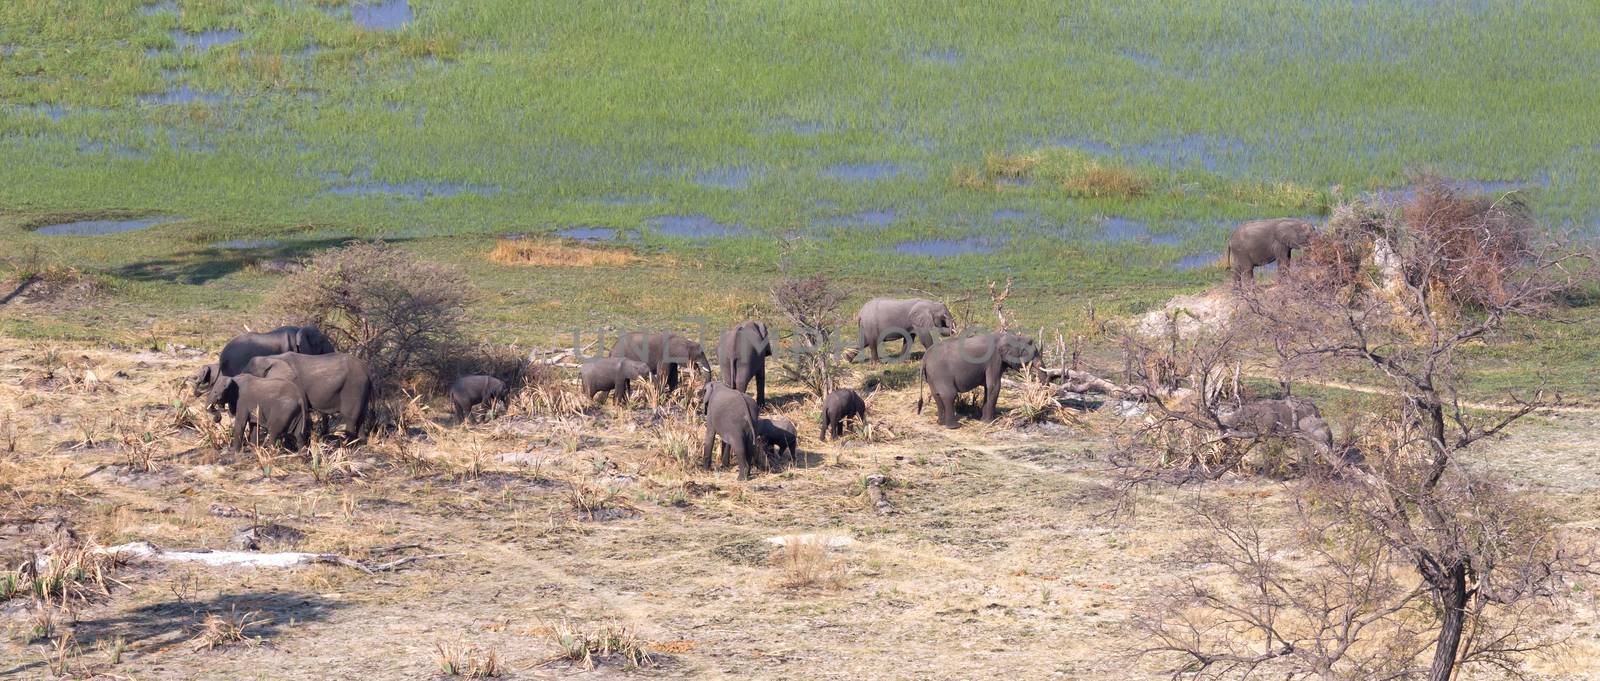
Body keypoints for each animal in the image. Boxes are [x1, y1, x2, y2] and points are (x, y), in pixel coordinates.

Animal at [241, 351, 372, 441]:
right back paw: (361, 441)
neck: (270, 358)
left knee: (350, 416)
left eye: (250, 374)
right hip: (363, 388)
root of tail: (367, 368)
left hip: (354, 386)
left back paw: (347, 443)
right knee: (362, 415)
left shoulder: (294, 384)